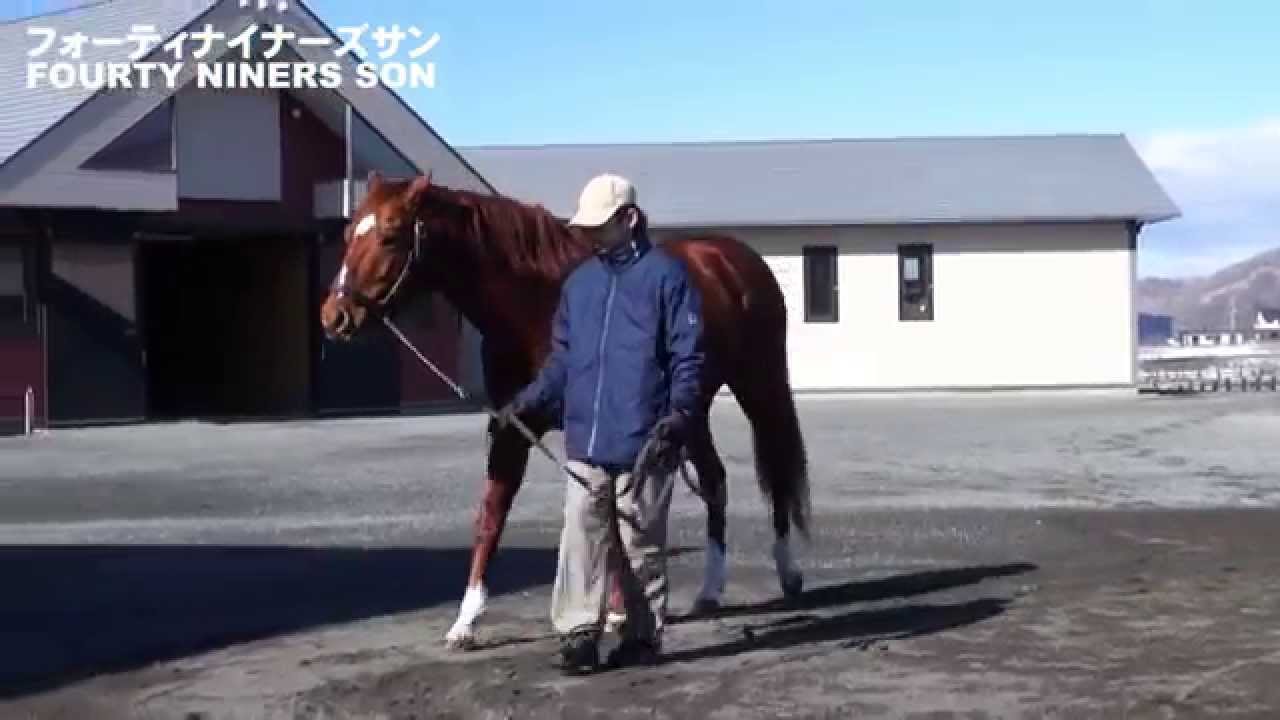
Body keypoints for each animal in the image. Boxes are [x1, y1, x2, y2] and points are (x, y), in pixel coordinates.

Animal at [320, 172, 811, 650]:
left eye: (390, 234)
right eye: (349, 232)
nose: (333, 316)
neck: (539, 304)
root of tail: (731, 257)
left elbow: (608, 515)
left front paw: (617, 614)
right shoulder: (512, 425)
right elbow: (492, 515)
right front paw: (466, 621)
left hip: (758, 386)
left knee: (775, 469)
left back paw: (788, 571)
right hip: (689, 412)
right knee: (714, 480)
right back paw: (710, 590)